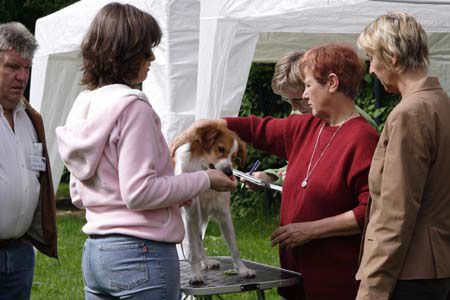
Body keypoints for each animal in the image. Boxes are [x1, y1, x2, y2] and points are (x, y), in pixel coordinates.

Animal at [173, 122, 256, 284]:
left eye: (234, 157)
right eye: (221, 149)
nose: (229, 172)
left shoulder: (224, 214)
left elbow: (234, 248)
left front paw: (242, 270)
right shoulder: (190, 215)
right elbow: (193, 248)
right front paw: (195, 274)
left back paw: (206, 261)